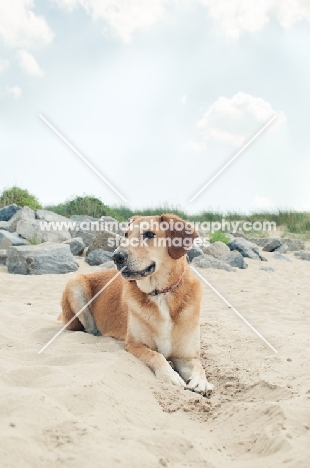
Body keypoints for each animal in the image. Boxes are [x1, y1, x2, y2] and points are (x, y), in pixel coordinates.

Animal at [59, 215, 213, 394]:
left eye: (149, 234)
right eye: (126, 234)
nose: (116, 256)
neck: (160, 294)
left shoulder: (186, 356)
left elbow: (199, 367)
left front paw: (201, 382)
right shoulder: (135, 345)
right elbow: (157, 356)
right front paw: (171, 375)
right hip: (75, 282)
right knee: (89, 329)